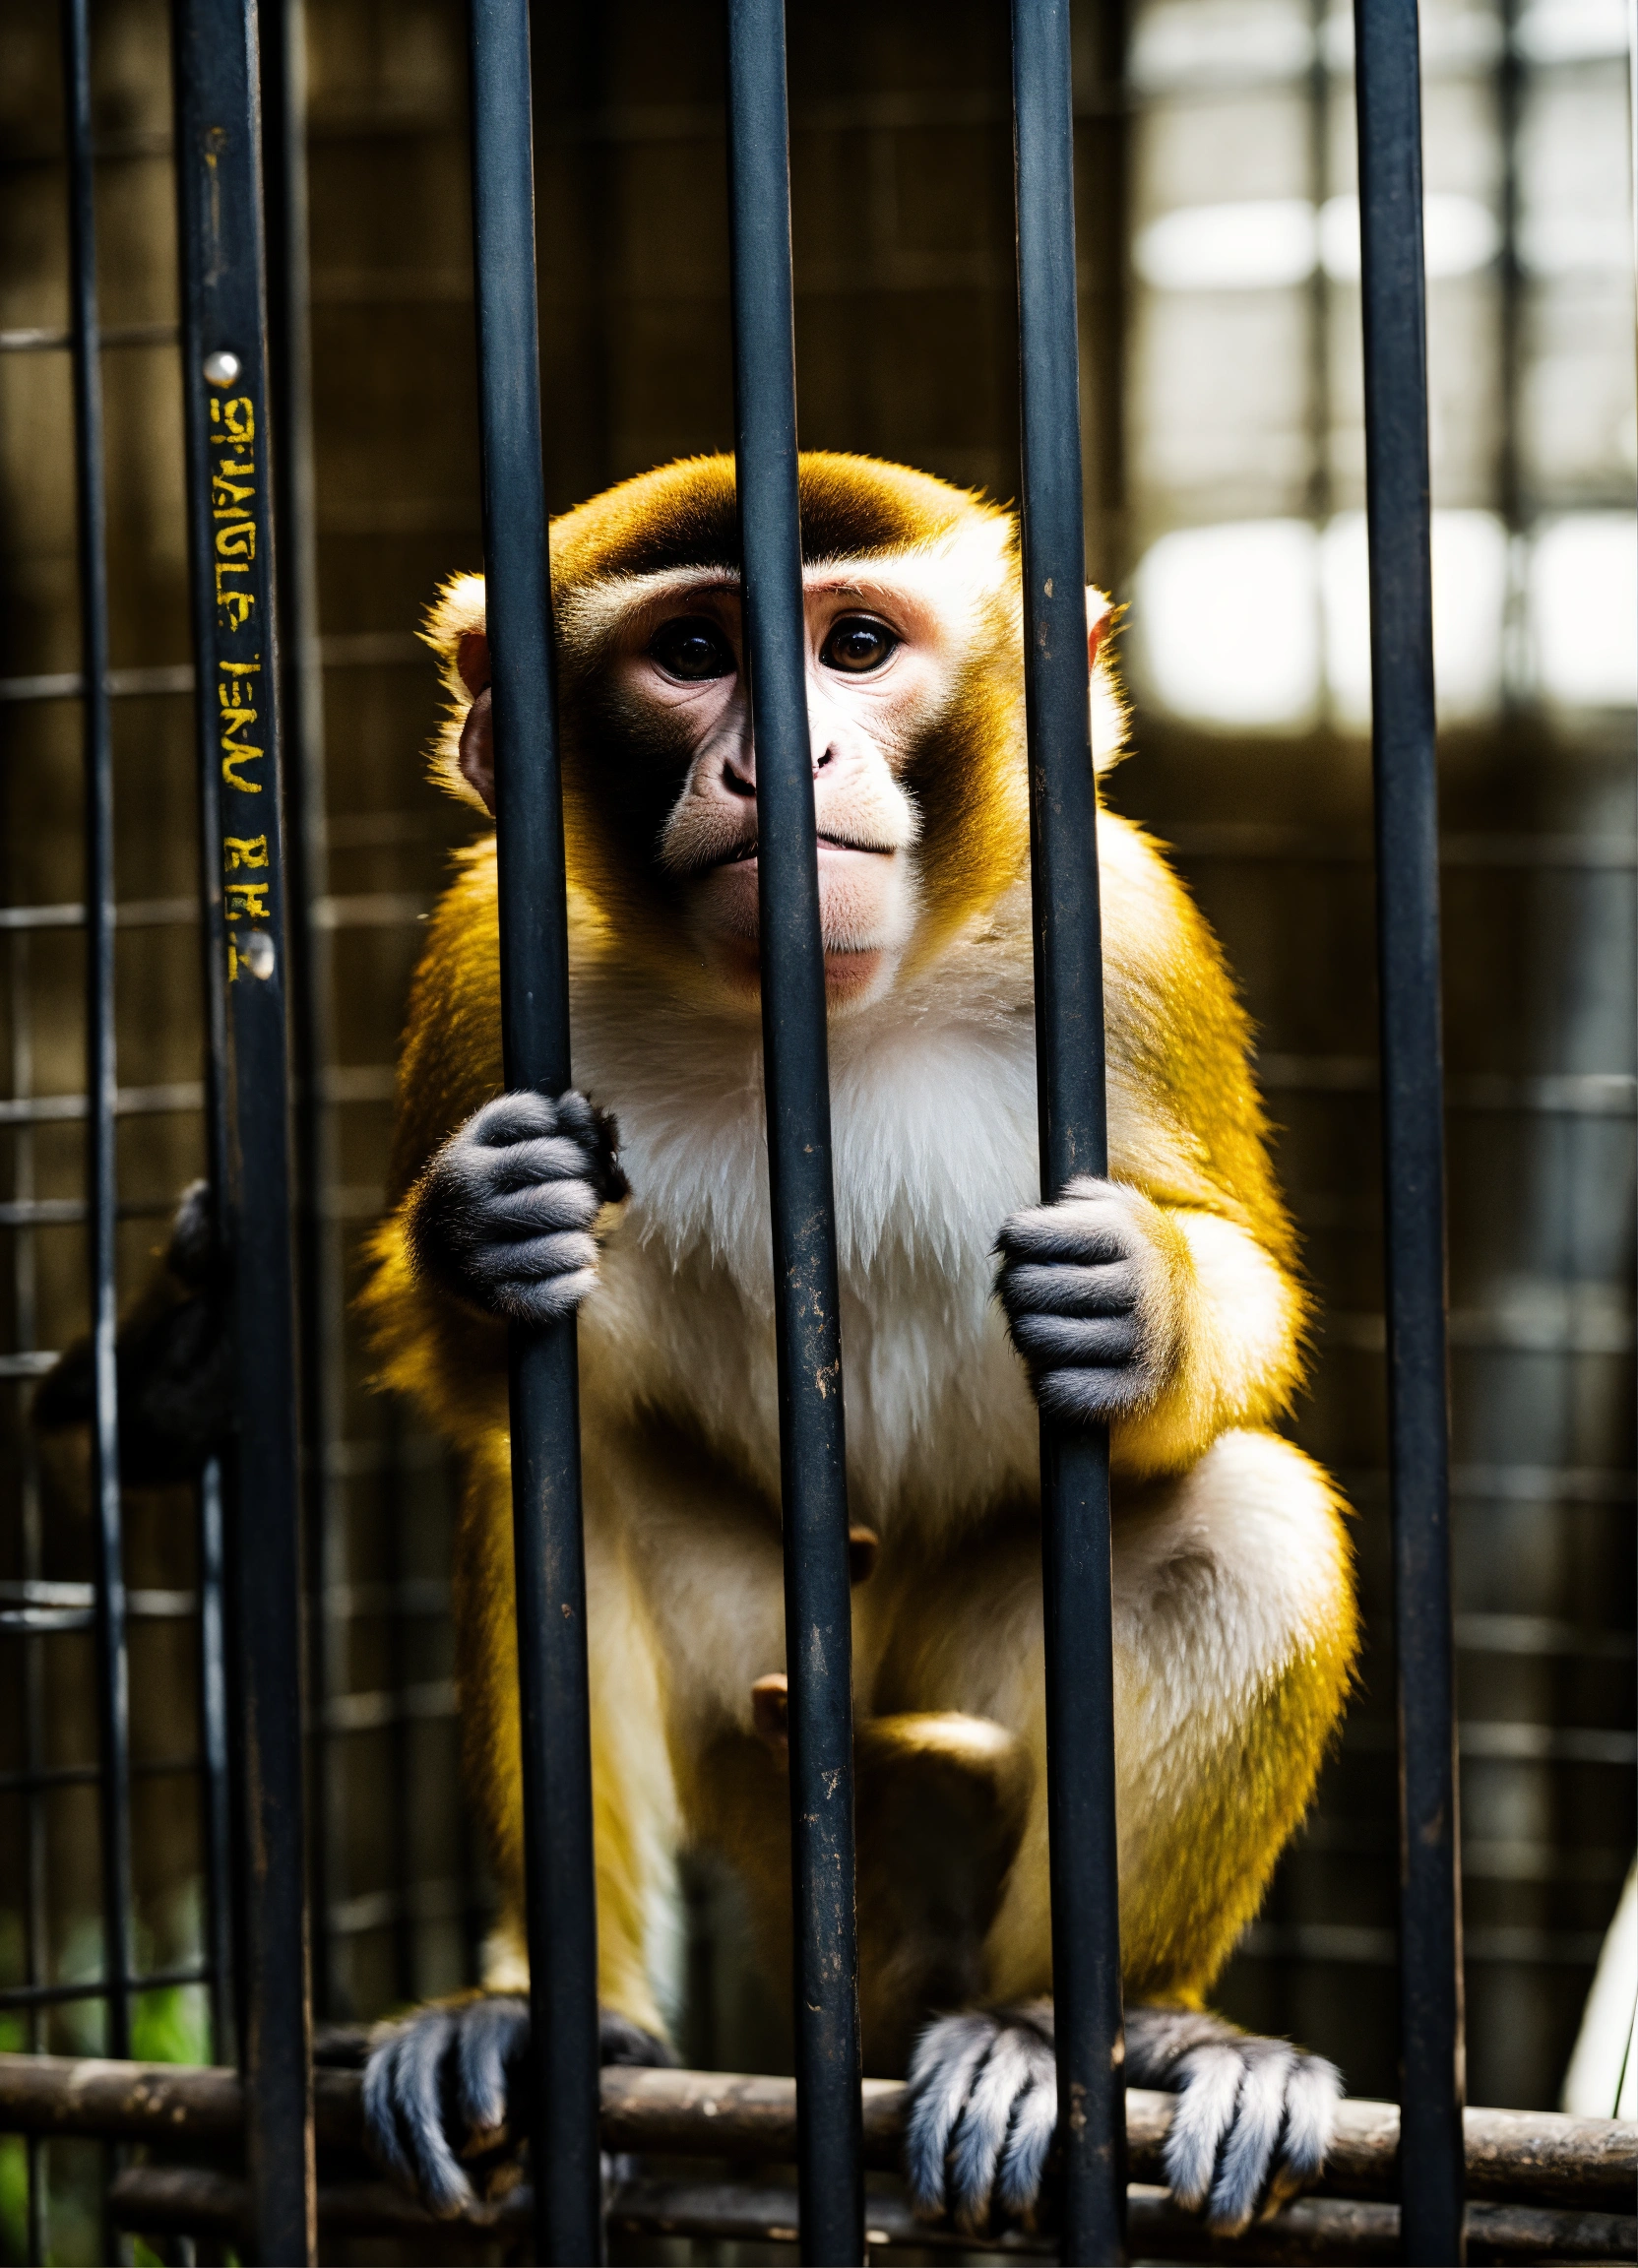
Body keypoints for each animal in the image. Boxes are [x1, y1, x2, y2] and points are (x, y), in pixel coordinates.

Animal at [358, 451, 1357, 2236]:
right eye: (694, 650)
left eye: (857, 645)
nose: (780, 760)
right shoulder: (482, 952)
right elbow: (478, 1375)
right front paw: (482, 1232)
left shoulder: (1127, 932)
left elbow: (1242, 1285)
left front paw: (1146, 1297)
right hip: (761, 1728)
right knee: (559, 1481)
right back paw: (555, 2018)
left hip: (972, 1684)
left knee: (1240, 1525)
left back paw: (1074, 2033)